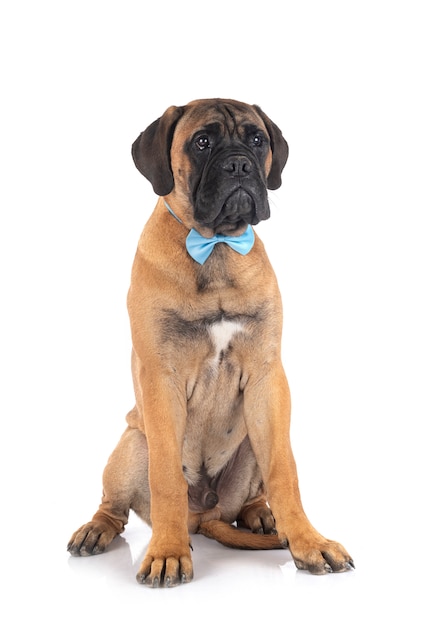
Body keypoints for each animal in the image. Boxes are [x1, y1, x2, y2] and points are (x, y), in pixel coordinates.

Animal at [66, 97, 352, 584]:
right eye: (202, 142)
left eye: (257, 140)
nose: (239, 164)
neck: (216, 248)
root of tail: (204, 516)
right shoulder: (161, 380)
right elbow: (166, 479)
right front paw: (166, 552)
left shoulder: (267, 381)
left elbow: (285, 472)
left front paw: (308, 542)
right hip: (131, 444)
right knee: (116, 505)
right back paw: (97, 529)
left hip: (251, 442)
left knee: (250, 495)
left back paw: (260, 515)